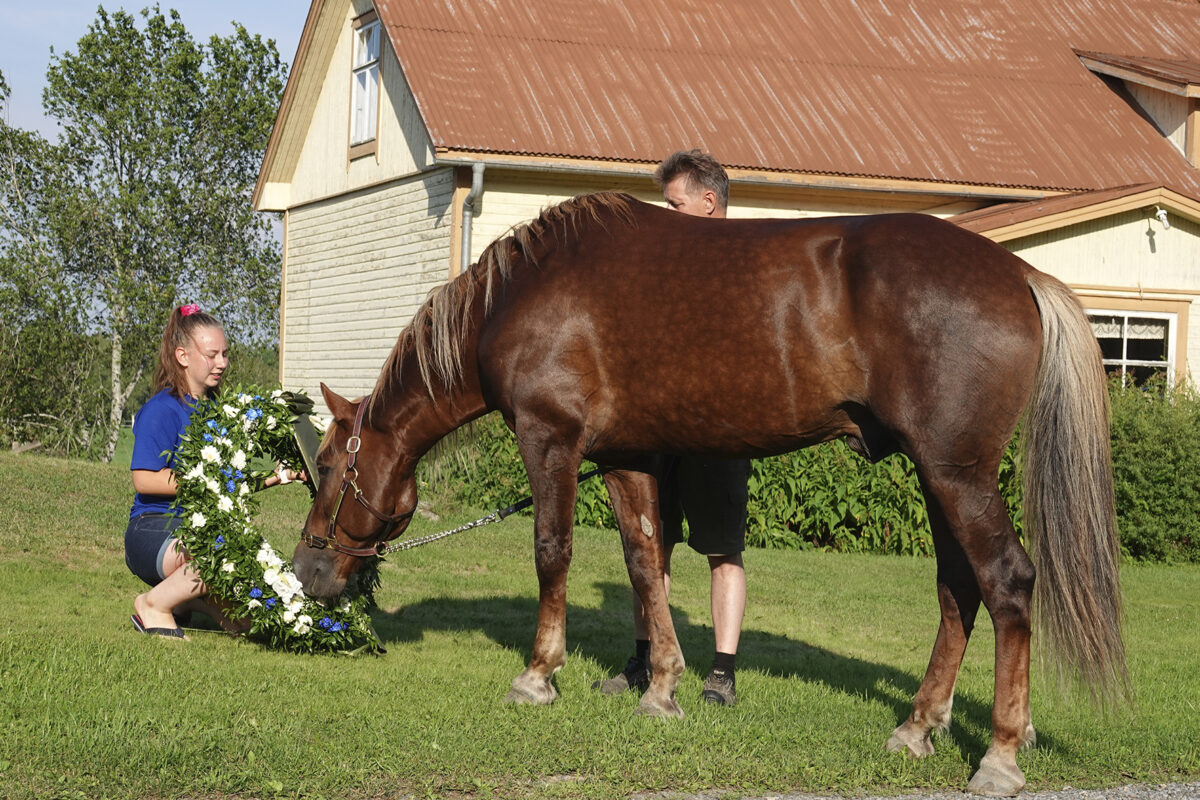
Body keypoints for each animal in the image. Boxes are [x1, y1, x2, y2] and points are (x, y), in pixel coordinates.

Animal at [297, 191, 1123, 796]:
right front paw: (660, 686)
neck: (522, 297)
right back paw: (918, 726)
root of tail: (1021, 276)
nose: (308, 571)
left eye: (331, 469)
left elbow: (551, 552)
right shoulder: (626, 455)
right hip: (938, 474)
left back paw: (1001, 755)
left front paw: (537, 675)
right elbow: (642, 562)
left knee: (1007, 582)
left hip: (957, 474)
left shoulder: (549, 440)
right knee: (959, 588)